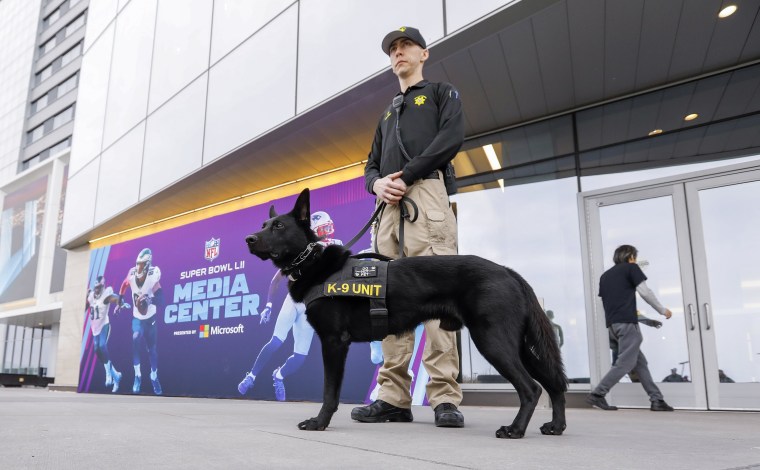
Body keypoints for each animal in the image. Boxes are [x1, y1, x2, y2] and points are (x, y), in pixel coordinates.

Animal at [246, 189, 568, 438]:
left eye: (278, 227)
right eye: (263, 224)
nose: (249, 239)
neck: (313, 262)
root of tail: (507, 271)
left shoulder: (334, 343)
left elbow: (330, 392)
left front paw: (319, 423)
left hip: (493, 342)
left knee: (531, 388)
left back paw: (515, 429)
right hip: (518, 346)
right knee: (554, 384)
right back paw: (556, 426)